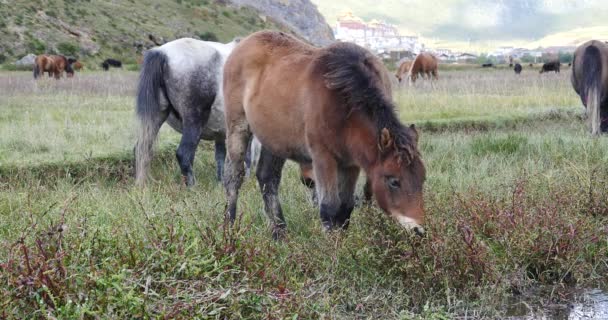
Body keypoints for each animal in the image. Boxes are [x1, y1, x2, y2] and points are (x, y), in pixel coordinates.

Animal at [135, 37, 252, 186]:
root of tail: (162, 53)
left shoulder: (221, 133)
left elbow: (221, 157)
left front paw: (221, 182)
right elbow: (246, 157)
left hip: (156, 117)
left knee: (143, 149)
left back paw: (141, 184)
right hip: (194, 120)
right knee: (184, 153)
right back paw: (192, 186)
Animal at [221, 31, 426, 239]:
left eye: (422, 179)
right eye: (394, 181)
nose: (418, 230)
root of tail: (244, 43)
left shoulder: (351, 163)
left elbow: (345, 208)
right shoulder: (323, 157)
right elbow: (329, 208)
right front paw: (330, 246)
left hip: (274, 139)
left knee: (267, 178)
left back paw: (280, 233)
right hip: (238, 127)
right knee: (233, 177)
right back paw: (229, 228)